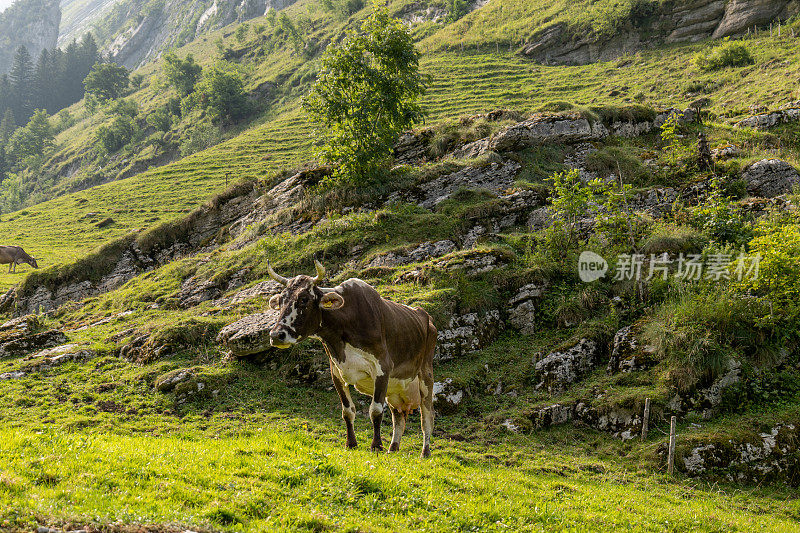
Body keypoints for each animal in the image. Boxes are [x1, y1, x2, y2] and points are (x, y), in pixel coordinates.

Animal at [268, 260, 438, 456]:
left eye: (303, 299)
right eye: (281, 300)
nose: (276, 335)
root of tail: (426, 316)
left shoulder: (382, 367)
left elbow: (376, 410)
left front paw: (376, 445)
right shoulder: (336, 372)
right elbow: (347, 411)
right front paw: (351, 443)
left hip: (426, 376)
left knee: (427, 418)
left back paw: (425, 452)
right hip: (395, 389)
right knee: (399, 418)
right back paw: (392, 449)